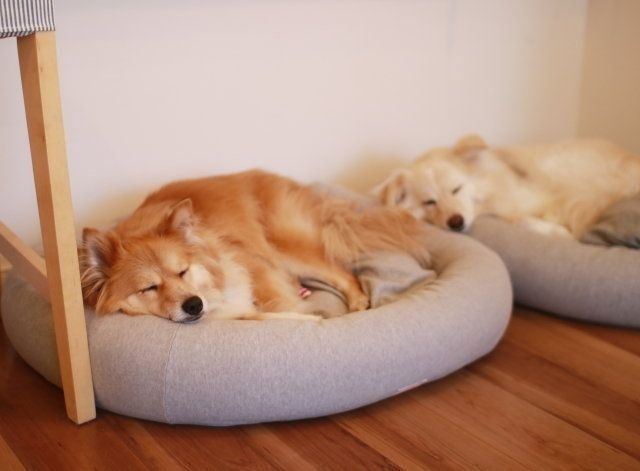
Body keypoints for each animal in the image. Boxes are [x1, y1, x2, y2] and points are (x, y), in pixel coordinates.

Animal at [80, 170, 431, 323]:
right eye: (149, 287)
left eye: (183, 271)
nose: (193, 304)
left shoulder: (253, 264)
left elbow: (279, 304)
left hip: (285, 248)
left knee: (345, 274)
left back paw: (357, 303)